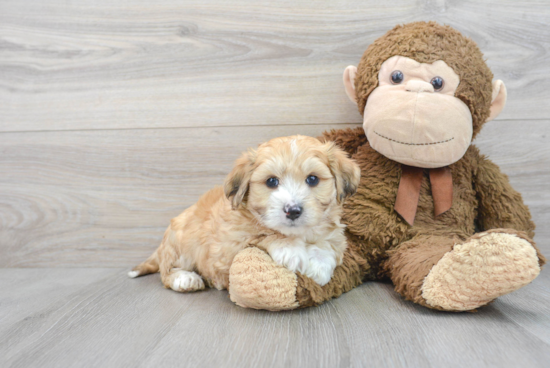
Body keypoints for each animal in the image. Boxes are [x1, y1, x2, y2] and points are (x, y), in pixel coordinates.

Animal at [129, 135, 362, 294]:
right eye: (271, 181)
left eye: (312, 179)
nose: (293, 210)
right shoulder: (228, 246)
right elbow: (262, 235)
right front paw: (291, 250)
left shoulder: (335, 235)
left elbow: (329, 244)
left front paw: (320, 265)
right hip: (180, 243)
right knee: (166, 272)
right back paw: (185, 279)